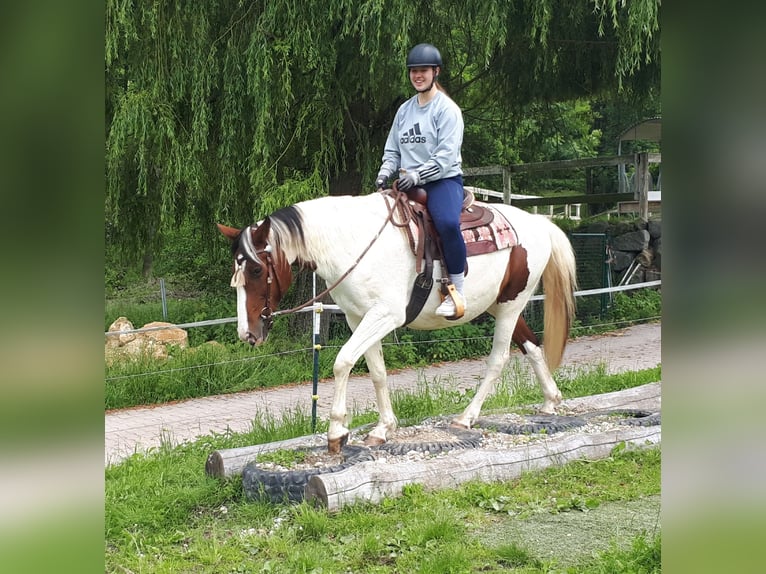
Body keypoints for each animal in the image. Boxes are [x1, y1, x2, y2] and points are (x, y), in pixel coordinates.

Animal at [218, 189, 576, 454]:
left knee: (499, 359)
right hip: (500, 306)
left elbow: (342, 361)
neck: (352, 243)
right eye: (236, 271)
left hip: (512, 304)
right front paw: (383, 428)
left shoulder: (385, 315)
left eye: (256, 269)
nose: (248, 334)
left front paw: (337, 431)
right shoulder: (359, 317)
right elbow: (376, 371)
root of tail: (539, 223)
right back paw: (550, 401)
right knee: (532, 346)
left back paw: (467, 417)